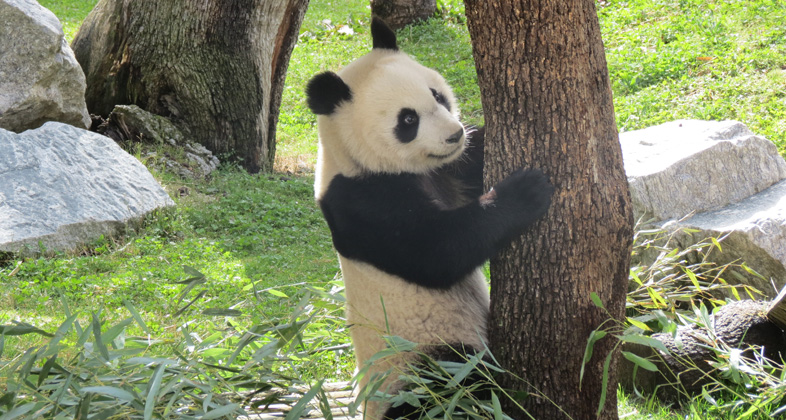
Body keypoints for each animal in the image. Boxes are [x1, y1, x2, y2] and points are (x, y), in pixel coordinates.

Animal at [304, 17, 552, 420]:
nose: (454, 135)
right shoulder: (360, 200)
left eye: (437, 95)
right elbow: (437, 251)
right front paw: (527, 190)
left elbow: (471, 163)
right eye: (408, 119)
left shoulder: (450, 169)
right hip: (419, 361)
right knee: (456, 383)